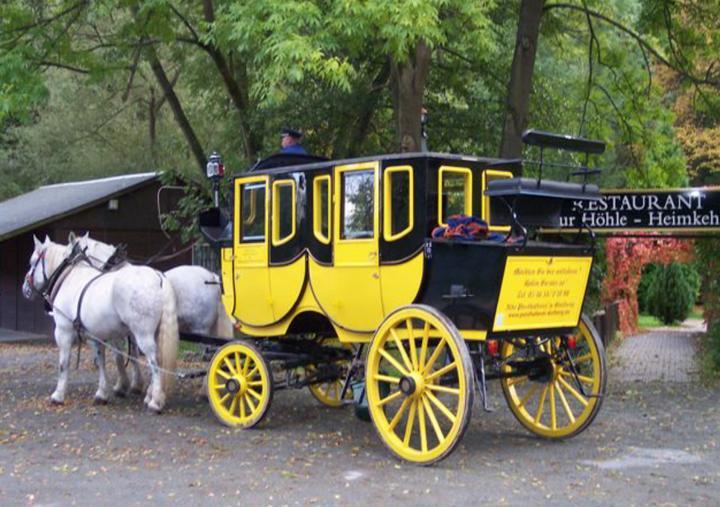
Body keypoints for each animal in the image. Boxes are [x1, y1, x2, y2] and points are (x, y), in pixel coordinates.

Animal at [23, 237, 180, 412]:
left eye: (32, 262)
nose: (25, 288)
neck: (70, 278)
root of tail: (157, 276)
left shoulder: (63, 332)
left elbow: (64, 363)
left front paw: (58, 395)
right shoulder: (95, 337)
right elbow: (101, 362)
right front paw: (102, 394)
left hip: (143, 335)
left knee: (155, 362)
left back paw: (155, 402)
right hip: (155, 334)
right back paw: (151, 396)